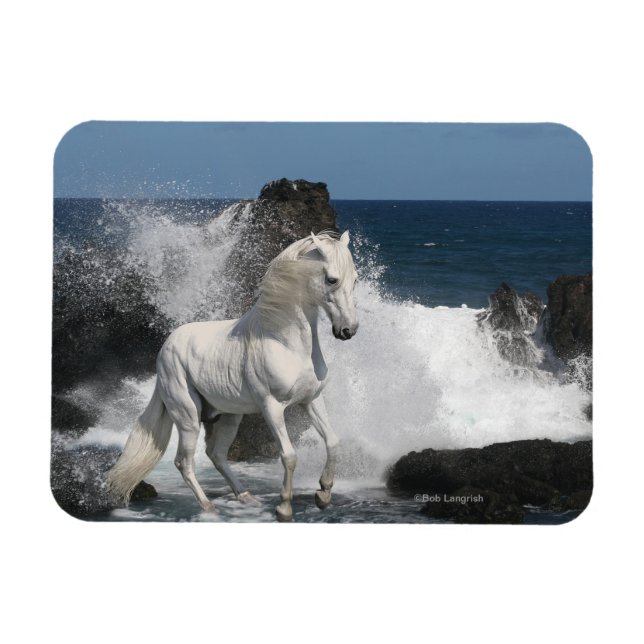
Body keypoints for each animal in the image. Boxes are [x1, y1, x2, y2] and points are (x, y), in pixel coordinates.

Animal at [106, 230, 359, 521]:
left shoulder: (312, 400)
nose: (348, 330)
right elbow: (289, 456)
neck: (285, 342)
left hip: (228, 417)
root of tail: (166, 347)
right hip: (188, 417)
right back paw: (209, 507)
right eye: (332, 279)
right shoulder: (272, 407)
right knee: (185, 461)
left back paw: (245, 496)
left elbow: (332, 441)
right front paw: (284, 508)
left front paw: (323, 495)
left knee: (216, 454)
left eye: (355, 279)